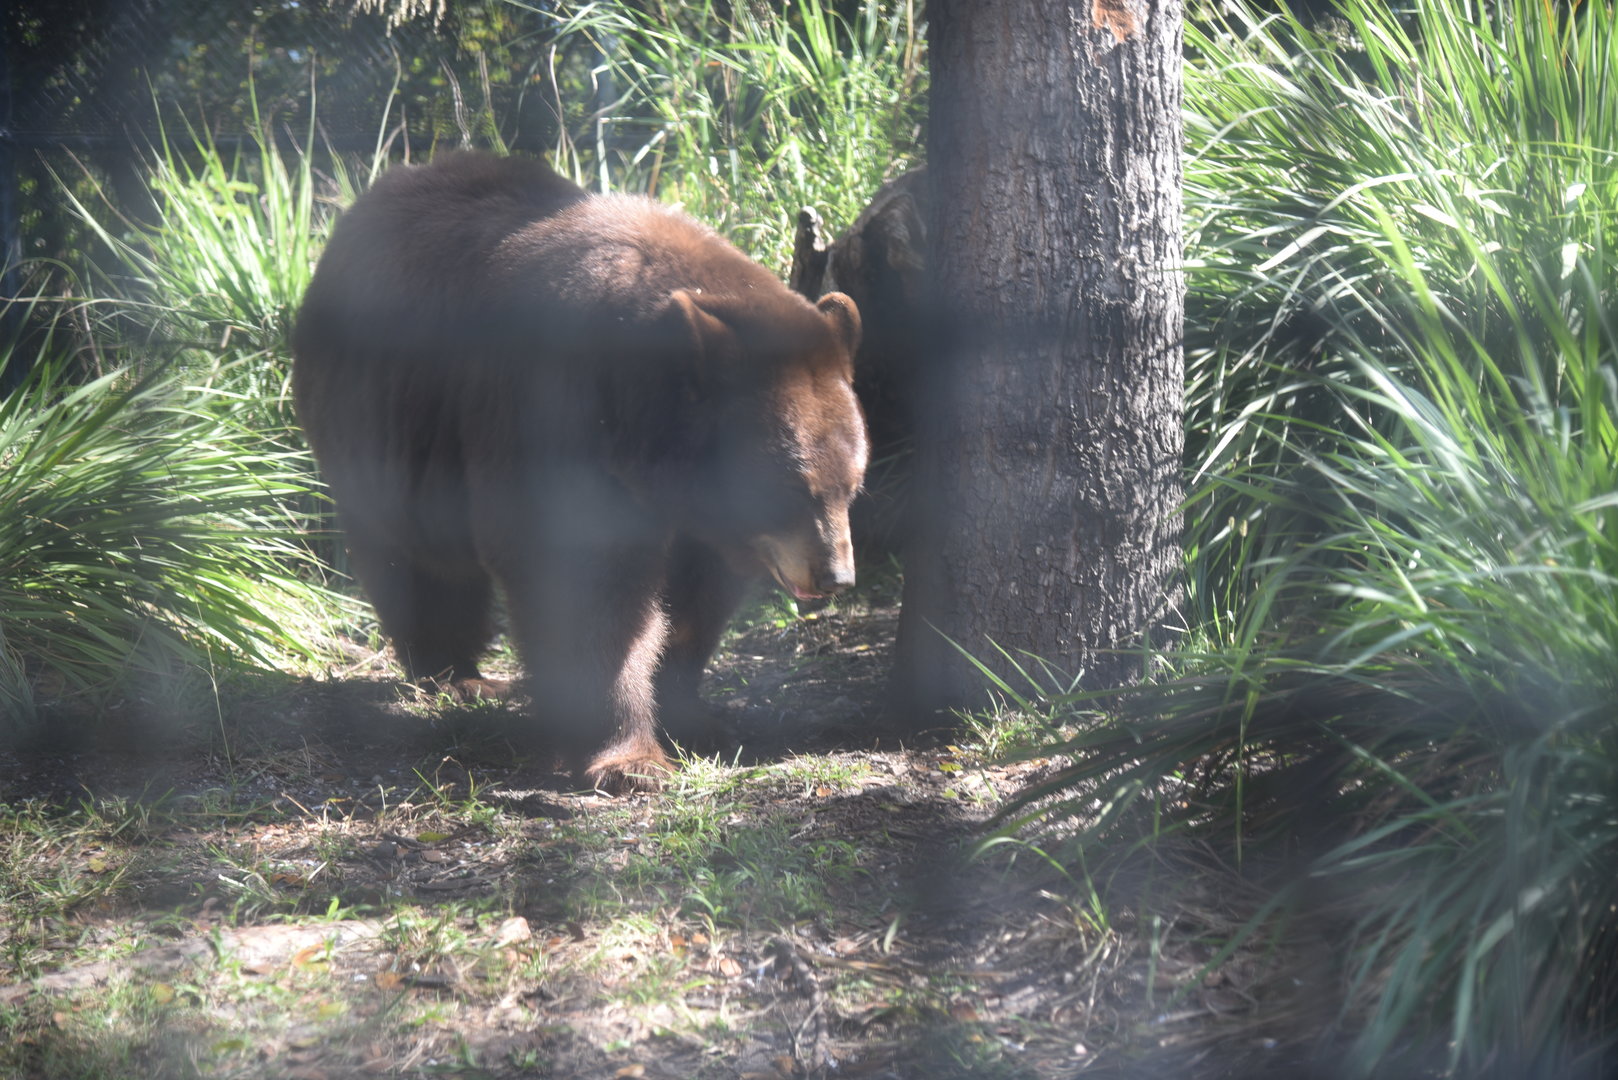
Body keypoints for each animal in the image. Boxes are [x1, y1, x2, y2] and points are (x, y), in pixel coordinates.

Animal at [291, 152, 866, 792]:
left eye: (852, 484)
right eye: (792, 488)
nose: (836, 575)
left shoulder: (702, 513)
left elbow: (695, 596)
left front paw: (694, 718)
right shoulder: (554, 412)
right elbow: (585, 584)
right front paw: (630, 757)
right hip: (382, 418)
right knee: (416, 556)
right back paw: (457, 673)